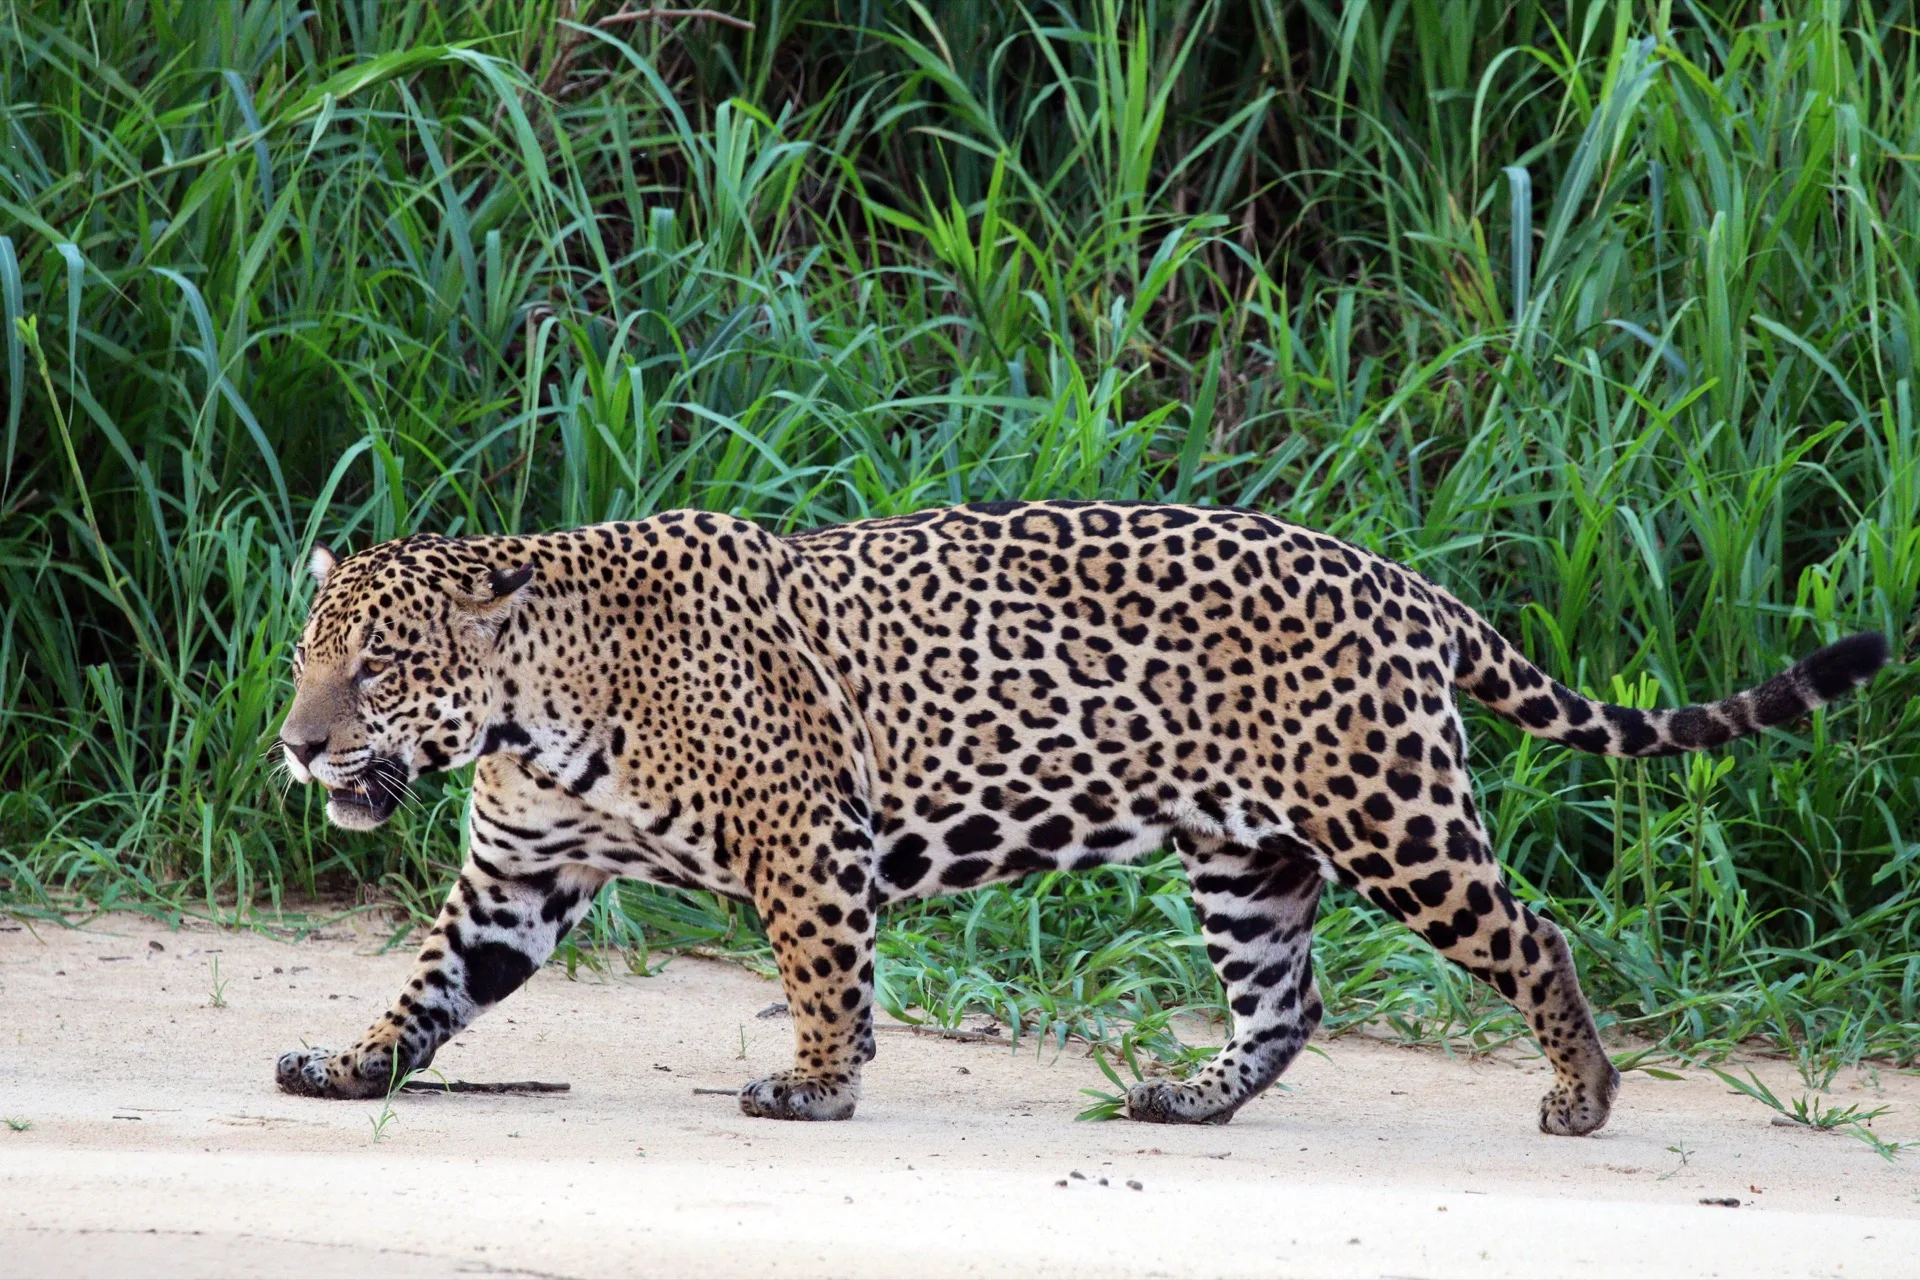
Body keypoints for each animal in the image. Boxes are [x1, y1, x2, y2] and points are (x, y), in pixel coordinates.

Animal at [274, 501, 1888, 1133]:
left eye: (381, 667)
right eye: (306, 657)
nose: (295, 746)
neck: (537, 708)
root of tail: (1404, 580)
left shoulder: (807, 839)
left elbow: (825, 975)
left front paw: (818, 1084)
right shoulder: (517, 877)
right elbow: (429, 988)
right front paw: (348, 1069)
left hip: (1392, 815)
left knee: (1534, 932)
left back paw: (1581, 1095)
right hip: (1246, 854)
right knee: (1286, 998)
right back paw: (1192, 1098)